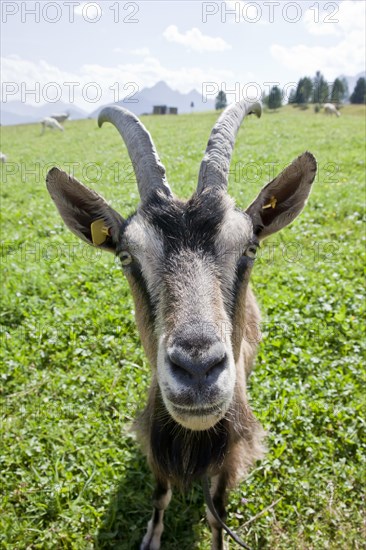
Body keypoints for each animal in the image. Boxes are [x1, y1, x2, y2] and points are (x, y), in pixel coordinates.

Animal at [45, 101, 314, 548]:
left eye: (250, 248)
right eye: (126, 257)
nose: (198, 368)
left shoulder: (232, 456)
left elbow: (217, 512)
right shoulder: (156, 444)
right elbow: (160, 495)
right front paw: (151, 537)